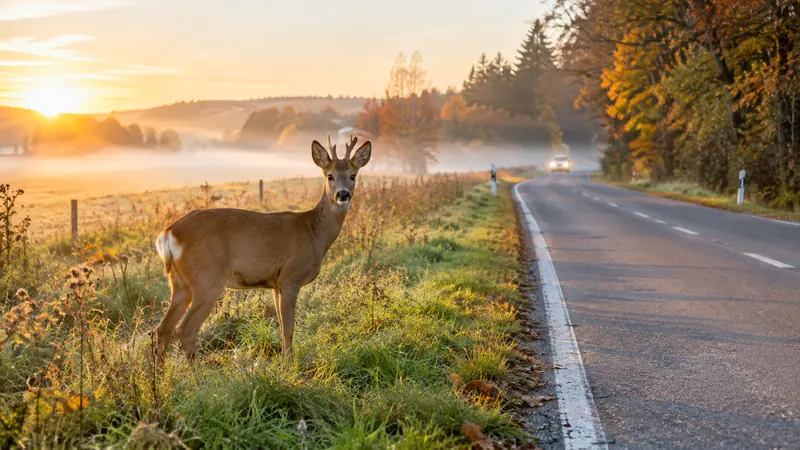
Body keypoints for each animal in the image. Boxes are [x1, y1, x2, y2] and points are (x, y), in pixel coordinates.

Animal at [153, 135, 371, 364]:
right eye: (330, 176)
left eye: (353, 176)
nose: (343, 194)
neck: (314, 233)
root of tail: (168, 234)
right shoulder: (290, 277)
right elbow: (288, 329)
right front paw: (288, 365)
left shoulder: (276, 284)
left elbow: (282, 326)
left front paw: (284, 360)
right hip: (207, 279)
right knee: (185, 329)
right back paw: (196, 372)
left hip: (180, 283)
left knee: (163, 328)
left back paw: (160, 373)